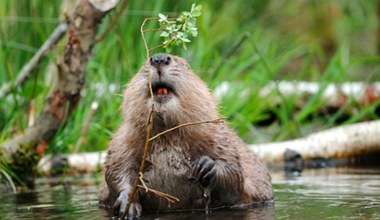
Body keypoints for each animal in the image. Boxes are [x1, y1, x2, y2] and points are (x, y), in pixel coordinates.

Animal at [98, 53, 274, 218]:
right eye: (143, 64)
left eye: (186, 65)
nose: (159, 58)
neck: (166, 135)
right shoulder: (123, 139)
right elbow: (116, 171)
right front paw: (127, 206)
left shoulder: (219, 136)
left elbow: (234, 177)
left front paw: (205, 166)